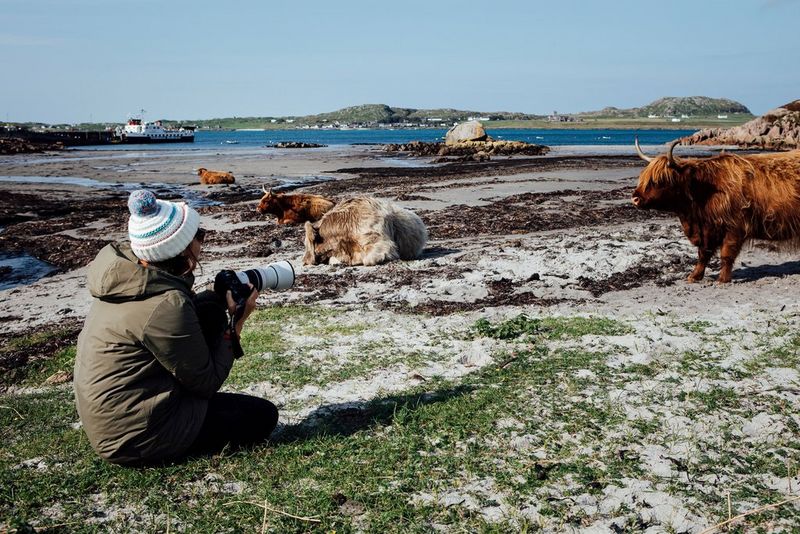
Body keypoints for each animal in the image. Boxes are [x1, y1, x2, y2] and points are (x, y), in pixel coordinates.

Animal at [632, 138, 800, 283]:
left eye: (659, 180)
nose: (635, 198)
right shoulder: (708, 229)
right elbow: (703, 254)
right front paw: (694, 276)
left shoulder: (734, 227)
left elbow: (726, 254)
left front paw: (723, 279)